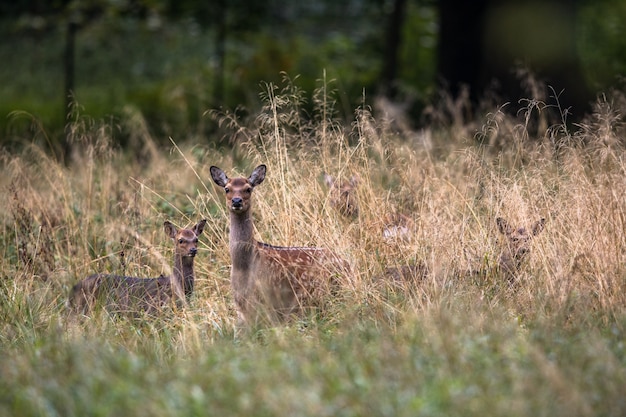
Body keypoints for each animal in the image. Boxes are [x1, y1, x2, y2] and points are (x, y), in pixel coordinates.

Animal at [208, 163, 346, 324]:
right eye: (227, 189)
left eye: (248, 188)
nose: (236, 201)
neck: (244, 266)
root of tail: (347, 264)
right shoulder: (240, 306)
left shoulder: (268, 300)